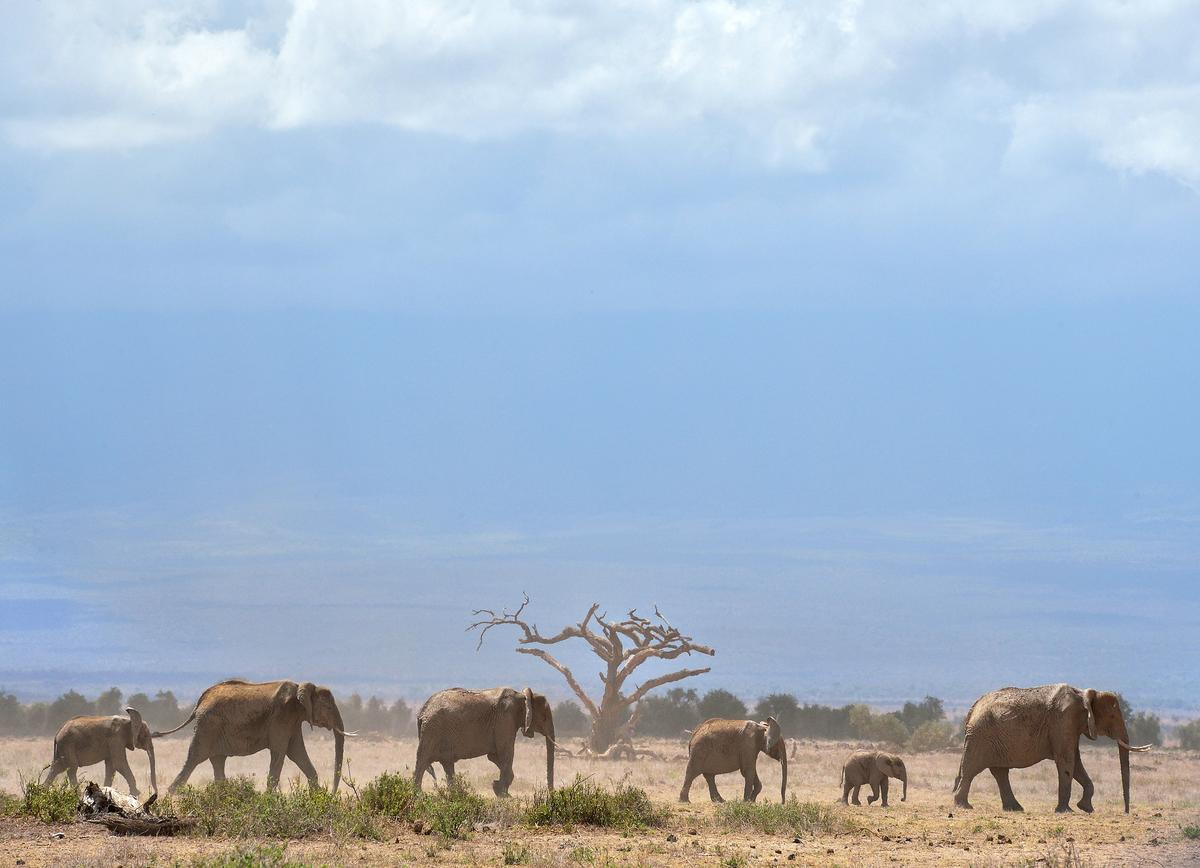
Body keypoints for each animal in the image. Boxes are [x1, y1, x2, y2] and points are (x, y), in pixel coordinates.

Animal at [154, 679, 355, 793]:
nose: (333, 793)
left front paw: (318, 797)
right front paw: (269, 798)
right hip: (208, 726)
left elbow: (297, 753)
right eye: (328, 706)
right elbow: (280, 752)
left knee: (217, 760)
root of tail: (199, 701)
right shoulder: (281, 716)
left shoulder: (293, 721)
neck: (302, 687)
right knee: (195, 758)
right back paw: (172, 793)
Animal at [413, 687, 554, 797]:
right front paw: (502, 794)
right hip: (432, 730)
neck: (521, 696)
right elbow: (506, 752)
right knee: (422, 762)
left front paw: (498, 788)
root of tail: (422, 711)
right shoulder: (505, 720)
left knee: (447, 764)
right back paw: (419, 796)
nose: (550, 793)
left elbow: (494, 756)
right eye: (544, 717)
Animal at [952, 684, 1153, 813]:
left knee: (1000, 773)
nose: (1126, 811)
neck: (1084, 694)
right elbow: (1067, 761)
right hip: (981, 735)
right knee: (972, 769)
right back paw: (964, 806)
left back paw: (1015, 809)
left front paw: (1085, 808)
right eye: (1112, 716)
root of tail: (972, 709)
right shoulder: (1063, 720)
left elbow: (1075, 762)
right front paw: (1066, 811)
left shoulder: (1070, 726)